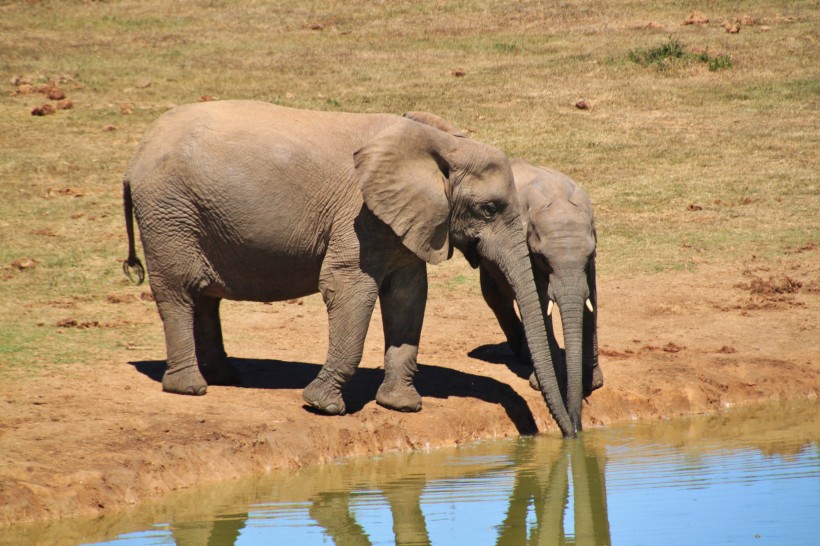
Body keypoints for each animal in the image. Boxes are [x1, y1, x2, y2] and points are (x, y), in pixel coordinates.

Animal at [125, 101, 580, 434]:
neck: (439, 143)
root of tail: (137, 155)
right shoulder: (358, 217)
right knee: (178, 293)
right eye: (489, 209)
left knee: (205, 298)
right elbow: (349, 288)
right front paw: (322, 406)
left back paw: (225, 376)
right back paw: (191, 389)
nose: (572, 432)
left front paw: (401, 406)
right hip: (168, 213)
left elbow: (409, 295)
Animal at [480, 159, 604, 432]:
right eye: (544, 259)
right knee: (495, 294)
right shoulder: (526, 248)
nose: (576, 429)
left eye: (589, 255)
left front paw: (592, 383)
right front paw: (542, 382)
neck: (556, 196)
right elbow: (538, 297)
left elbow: (591, 298)